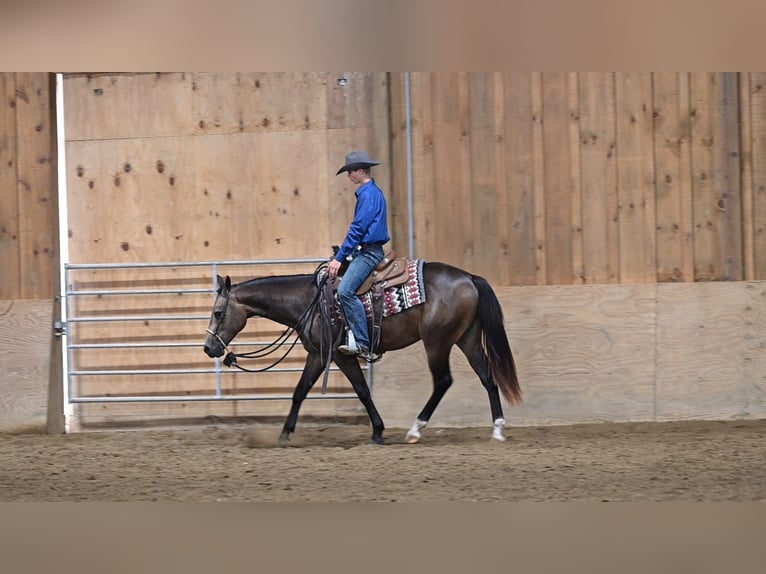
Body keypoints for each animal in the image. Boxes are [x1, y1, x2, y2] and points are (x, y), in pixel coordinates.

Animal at [203, 260, 521, 445]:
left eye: (218, 313)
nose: (208, 348)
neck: (308, 301)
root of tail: (469, 276)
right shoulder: (318, 355)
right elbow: (300, 391)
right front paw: (284, 434)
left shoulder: (341, 355)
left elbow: (362, 390)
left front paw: (378, 431)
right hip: (467, 339)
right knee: (487, 378)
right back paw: (497, 429)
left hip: (437, 342)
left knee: (443, 381)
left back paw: (415, 429)